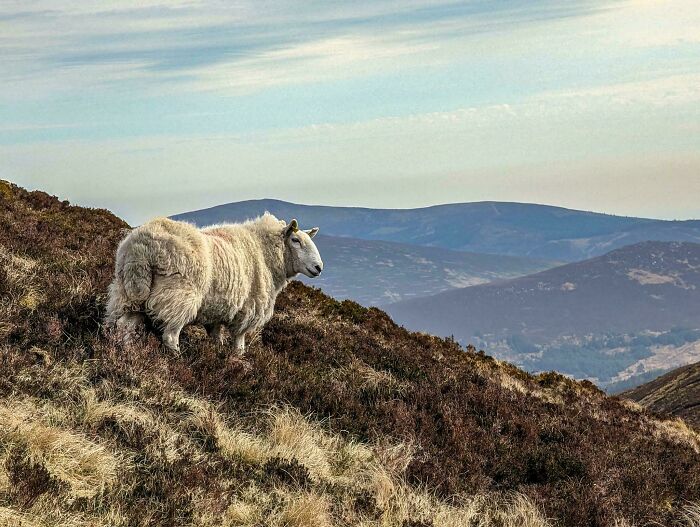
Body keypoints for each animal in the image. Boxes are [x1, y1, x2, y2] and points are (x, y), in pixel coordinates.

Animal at [105, 214, 323, 353]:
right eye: (295, 240)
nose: (318, 267)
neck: (265, 252)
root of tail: (141, 248)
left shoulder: (218, 308)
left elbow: (216, 337)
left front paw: (217, 355)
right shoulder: (247, 308)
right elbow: (239, 340)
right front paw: (237, 358)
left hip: (128, 291)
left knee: (124, 326)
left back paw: (125, 352)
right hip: (178, 295)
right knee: (170, 335)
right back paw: (177, 358)